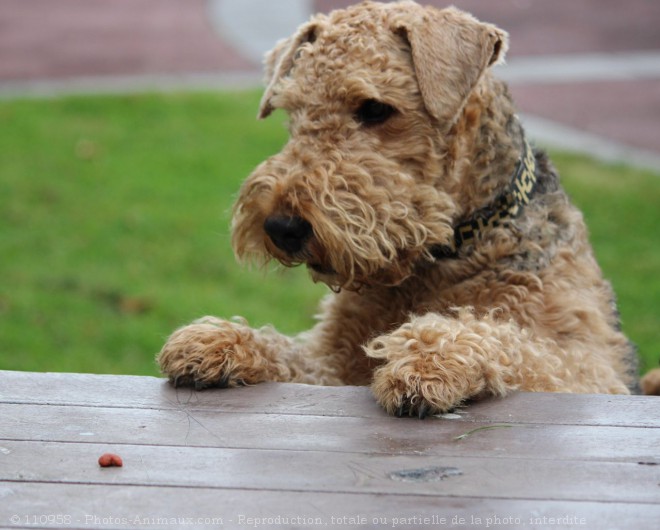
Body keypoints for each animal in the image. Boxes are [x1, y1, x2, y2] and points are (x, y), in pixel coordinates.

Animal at [157, 0, 656, 414]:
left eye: (375, 108)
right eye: (292, 110)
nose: (281, 227)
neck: (444, 256)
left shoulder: (591, 368)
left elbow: (515, 343)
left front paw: (430, 356)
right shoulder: (333, 360)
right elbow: (296, 352)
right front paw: (218, 340)